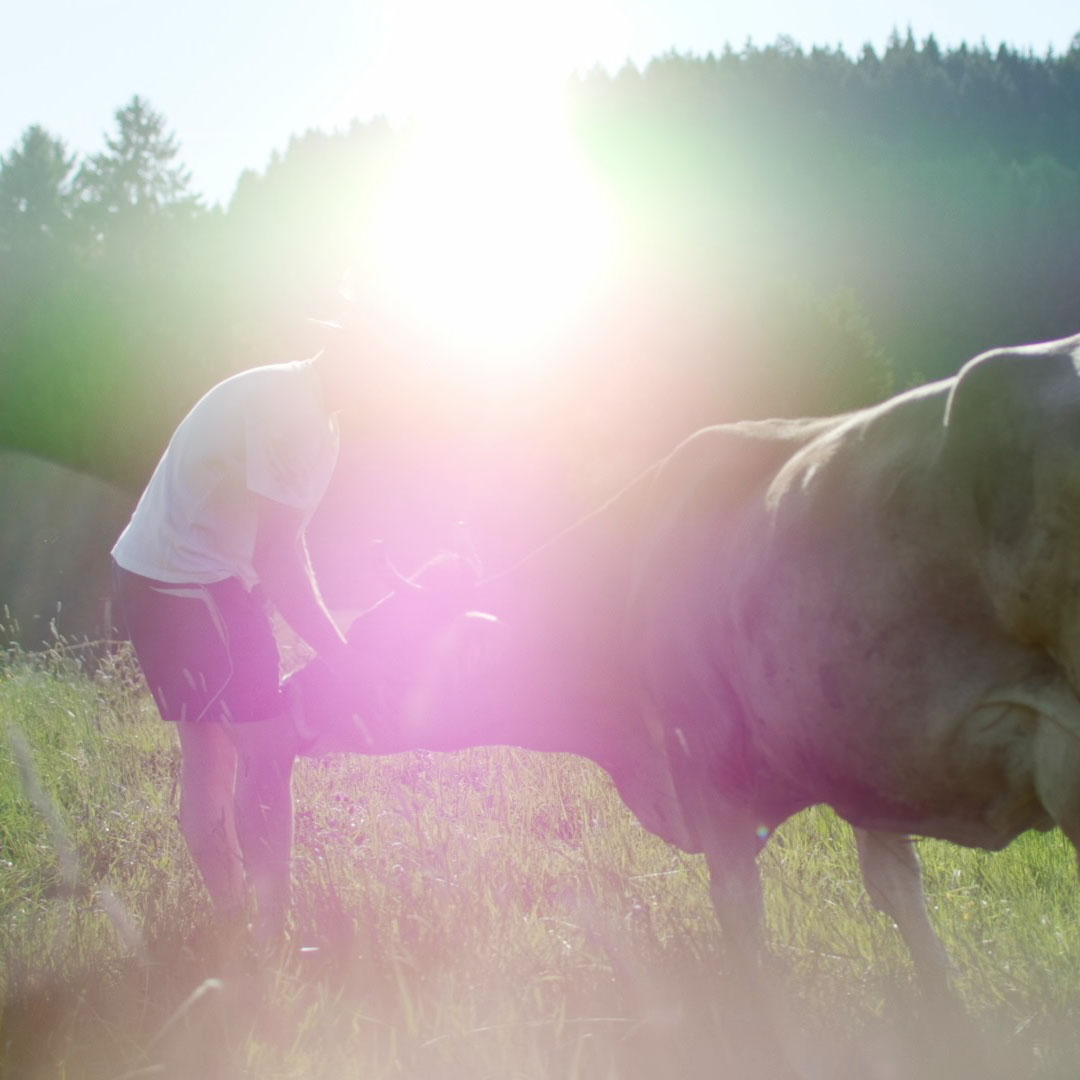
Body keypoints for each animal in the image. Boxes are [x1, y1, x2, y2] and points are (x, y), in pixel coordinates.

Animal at [288, 332, 1080, 1028]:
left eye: (380, 641)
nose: (292, 690)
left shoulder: (709, 778)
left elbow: (743, 922)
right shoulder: (863, 761)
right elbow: (901, 898)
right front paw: (952, 1019)